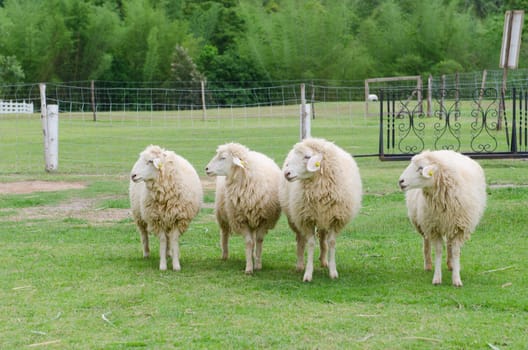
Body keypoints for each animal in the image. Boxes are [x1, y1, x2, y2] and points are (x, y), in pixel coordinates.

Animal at [204, 142, 282, 274]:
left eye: (223, 157)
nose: (207, 169)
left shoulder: (264, 219)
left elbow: (259, 240)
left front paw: (258, 264)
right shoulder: (241, 219)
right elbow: (249, 242)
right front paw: (249, 268)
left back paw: (252, 256)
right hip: (222, 213)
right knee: (224, 233)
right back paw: (225, 255)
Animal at [280, 137, 364, 282]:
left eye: (307, 156)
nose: (286, 173)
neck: (319, 187)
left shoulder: (335, 219)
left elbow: (331, 242)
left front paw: (333, 271)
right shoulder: (306, 219)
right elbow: (310, 243)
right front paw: (308, 273)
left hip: (324, 217)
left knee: (323, 240)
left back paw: (324, 261)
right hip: (295, 217)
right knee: (300, 240)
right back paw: (300, 264)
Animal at [400, 149, 486, 286]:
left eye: (420, 168)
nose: (400, 181)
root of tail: (447, 151)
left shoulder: (460, 227)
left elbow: (456, 251)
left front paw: (456, 279)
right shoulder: (434, 228)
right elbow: (439, 251)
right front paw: (437, 278)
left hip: (451, 224)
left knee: (450, 244)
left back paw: (451, 265)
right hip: (423, 223)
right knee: (426, 242)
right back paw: (428, 265)